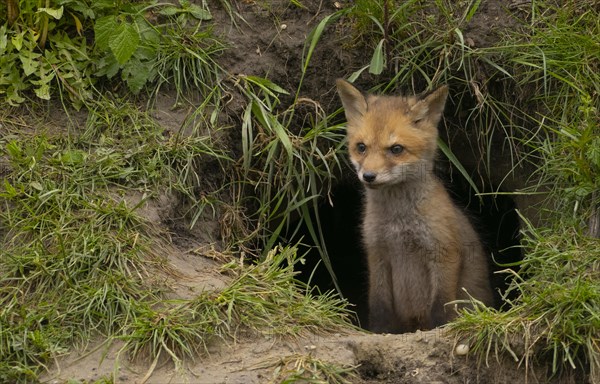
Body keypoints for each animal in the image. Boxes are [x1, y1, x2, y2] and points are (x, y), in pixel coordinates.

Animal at [336, 79, 494, 332]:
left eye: (396, 149)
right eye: (361, 147)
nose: (368, 176)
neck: (398, 224)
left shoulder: (444, 253)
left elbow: (441, 308)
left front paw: (438, 330)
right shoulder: (377, 254)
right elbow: (379, 307)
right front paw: (380, 332)